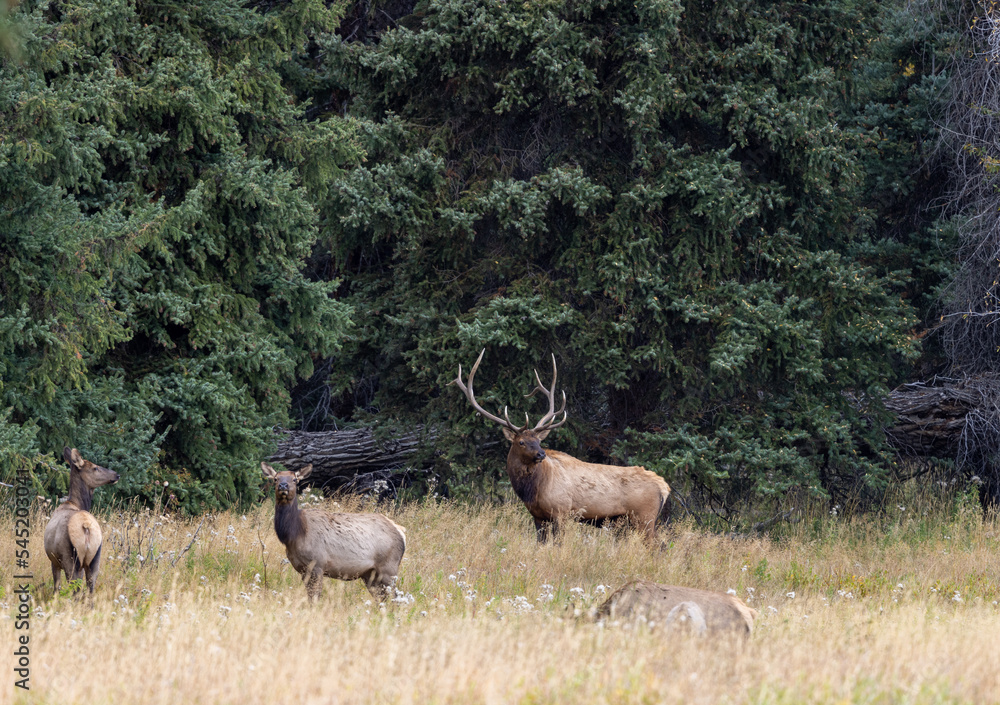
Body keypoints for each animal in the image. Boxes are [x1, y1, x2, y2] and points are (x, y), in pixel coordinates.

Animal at [43, 446, 120, 592]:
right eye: (95, 467)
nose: (116, 474)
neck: (75, 503)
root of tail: (86, 526)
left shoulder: (54, 561)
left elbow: (56, 587)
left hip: (71, 559)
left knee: (75, 590)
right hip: (94, 560)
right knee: (90, 589)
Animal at [264, 462, 412, 600]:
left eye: (295, 479)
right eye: (276, 478)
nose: (283, 486)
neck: (295, 534)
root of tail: (401, 531)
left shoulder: (317, 564)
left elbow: (315, 598)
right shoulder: (302, 569)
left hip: (389, 568)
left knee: (395, 599)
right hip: (370, 574)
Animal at [454, 350, 672, 540]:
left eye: (539, 440)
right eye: (522, 442)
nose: (541, 454)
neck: (532, 490)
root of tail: (664, 487)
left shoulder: (562, 512)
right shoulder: (538, 517)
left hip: (644, 517)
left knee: (658, 546)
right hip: (630, 521)